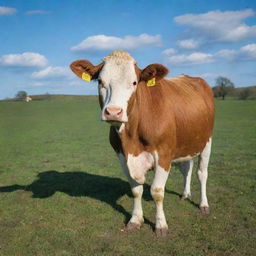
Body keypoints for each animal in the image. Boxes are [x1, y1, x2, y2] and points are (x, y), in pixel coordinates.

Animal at [69, 50, 214, 238]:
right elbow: (136, 190)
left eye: (134, 82)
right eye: (100, 81)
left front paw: (161, 225)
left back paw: (204, 205)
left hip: (207, 142)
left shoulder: (164, 155)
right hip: (186, 143)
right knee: (186, 168)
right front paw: (135, 220)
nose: (113, 112)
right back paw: (185, 194)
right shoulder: (122, 157)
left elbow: (157, 191)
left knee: (201, 173)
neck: (132, 138)